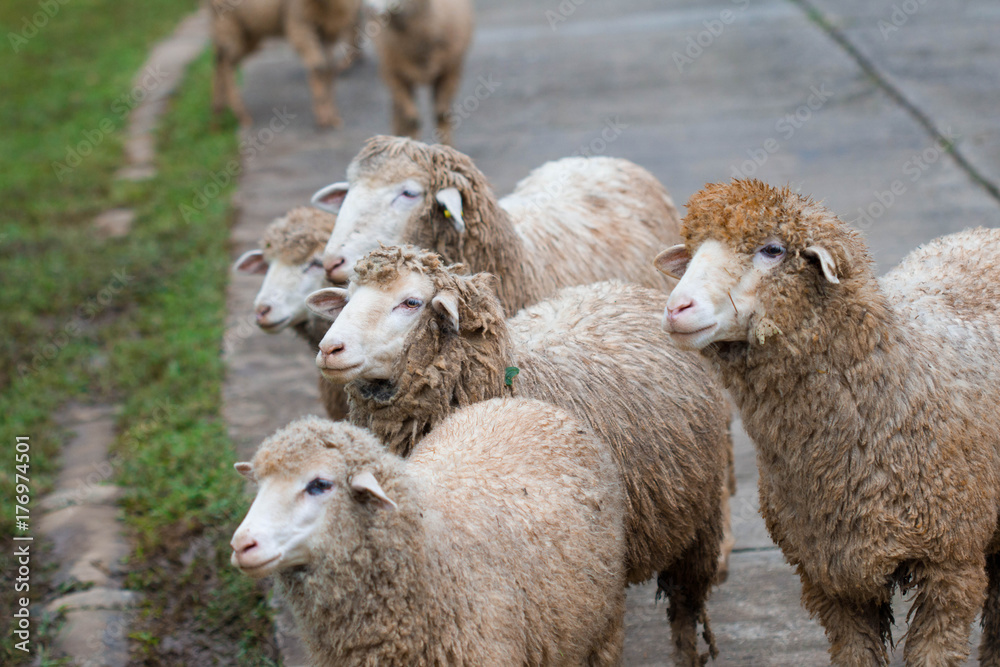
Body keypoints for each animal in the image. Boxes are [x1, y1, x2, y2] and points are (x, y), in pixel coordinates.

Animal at [210, 0, 362, 128]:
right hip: (228, 26)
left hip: (249, 33)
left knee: (221, 63)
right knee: (224, 64)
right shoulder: (299, 21)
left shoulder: (328, 30)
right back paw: (239, 115)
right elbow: (318, 67)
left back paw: (217, 118)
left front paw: (333, 117)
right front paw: (323, 118)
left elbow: (328, 70)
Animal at [305, 244, 732, 665]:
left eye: (410, 302)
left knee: (684, 611)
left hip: (697, 522)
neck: (515, 379)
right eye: (346, 299)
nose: (329, 349)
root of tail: (621, 286)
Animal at [363, 0, 474, 145]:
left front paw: (447, 146)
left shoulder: (451, 72)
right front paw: (411, 144)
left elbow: (441, 115)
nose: (369, 9)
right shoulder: (395, 75)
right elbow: (413, 120)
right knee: (398, 110)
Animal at [657, 178, 1000, 666]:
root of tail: (983, 232)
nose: (677, 308)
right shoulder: (829, 574)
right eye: (692, 250)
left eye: (773, 249)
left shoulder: (950, 562)